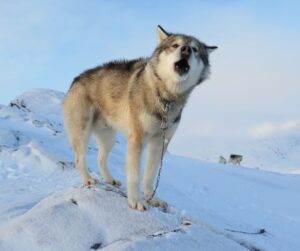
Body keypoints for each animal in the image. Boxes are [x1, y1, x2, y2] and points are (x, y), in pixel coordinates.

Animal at [64, 25, 217, 211]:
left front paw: (151, 198)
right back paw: (87, 179)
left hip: (109, 138)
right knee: (79, 159)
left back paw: (109, 180)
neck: (165, 98)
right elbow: (135, 175)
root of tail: (76, 79)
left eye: (195, 49)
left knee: (101, 159)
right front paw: (135, 200)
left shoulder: (160, 141)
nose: (186, 50)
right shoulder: (137, 139)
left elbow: (150, 175)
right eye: (175, 45)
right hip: (82, 133)